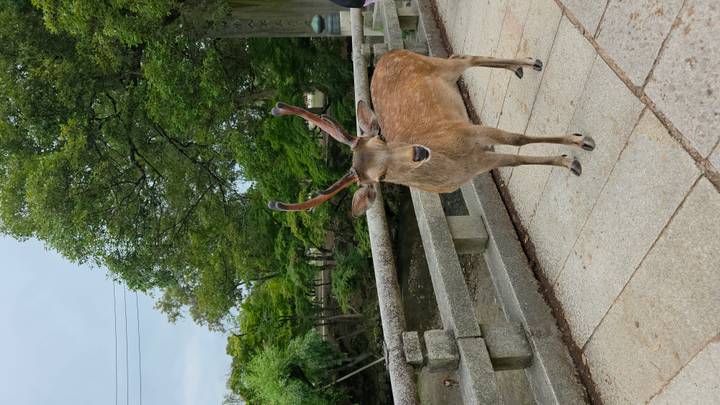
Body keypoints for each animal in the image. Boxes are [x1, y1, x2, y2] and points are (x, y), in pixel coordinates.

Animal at [268, 50, 595, 216]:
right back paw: (519, 68)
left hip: (437, 64)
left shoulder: (472, 129)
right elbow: (516, 159)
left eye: (382, 138)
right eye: (381, 178)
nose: (418, 151)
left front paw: (580, 143)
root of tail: (387, 53)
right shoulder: (481, 161)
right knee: (461, 56)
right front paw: (570, 160)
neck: (457, 161)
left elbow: (519, 139)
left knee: (466, 58)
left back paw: (530, 62)